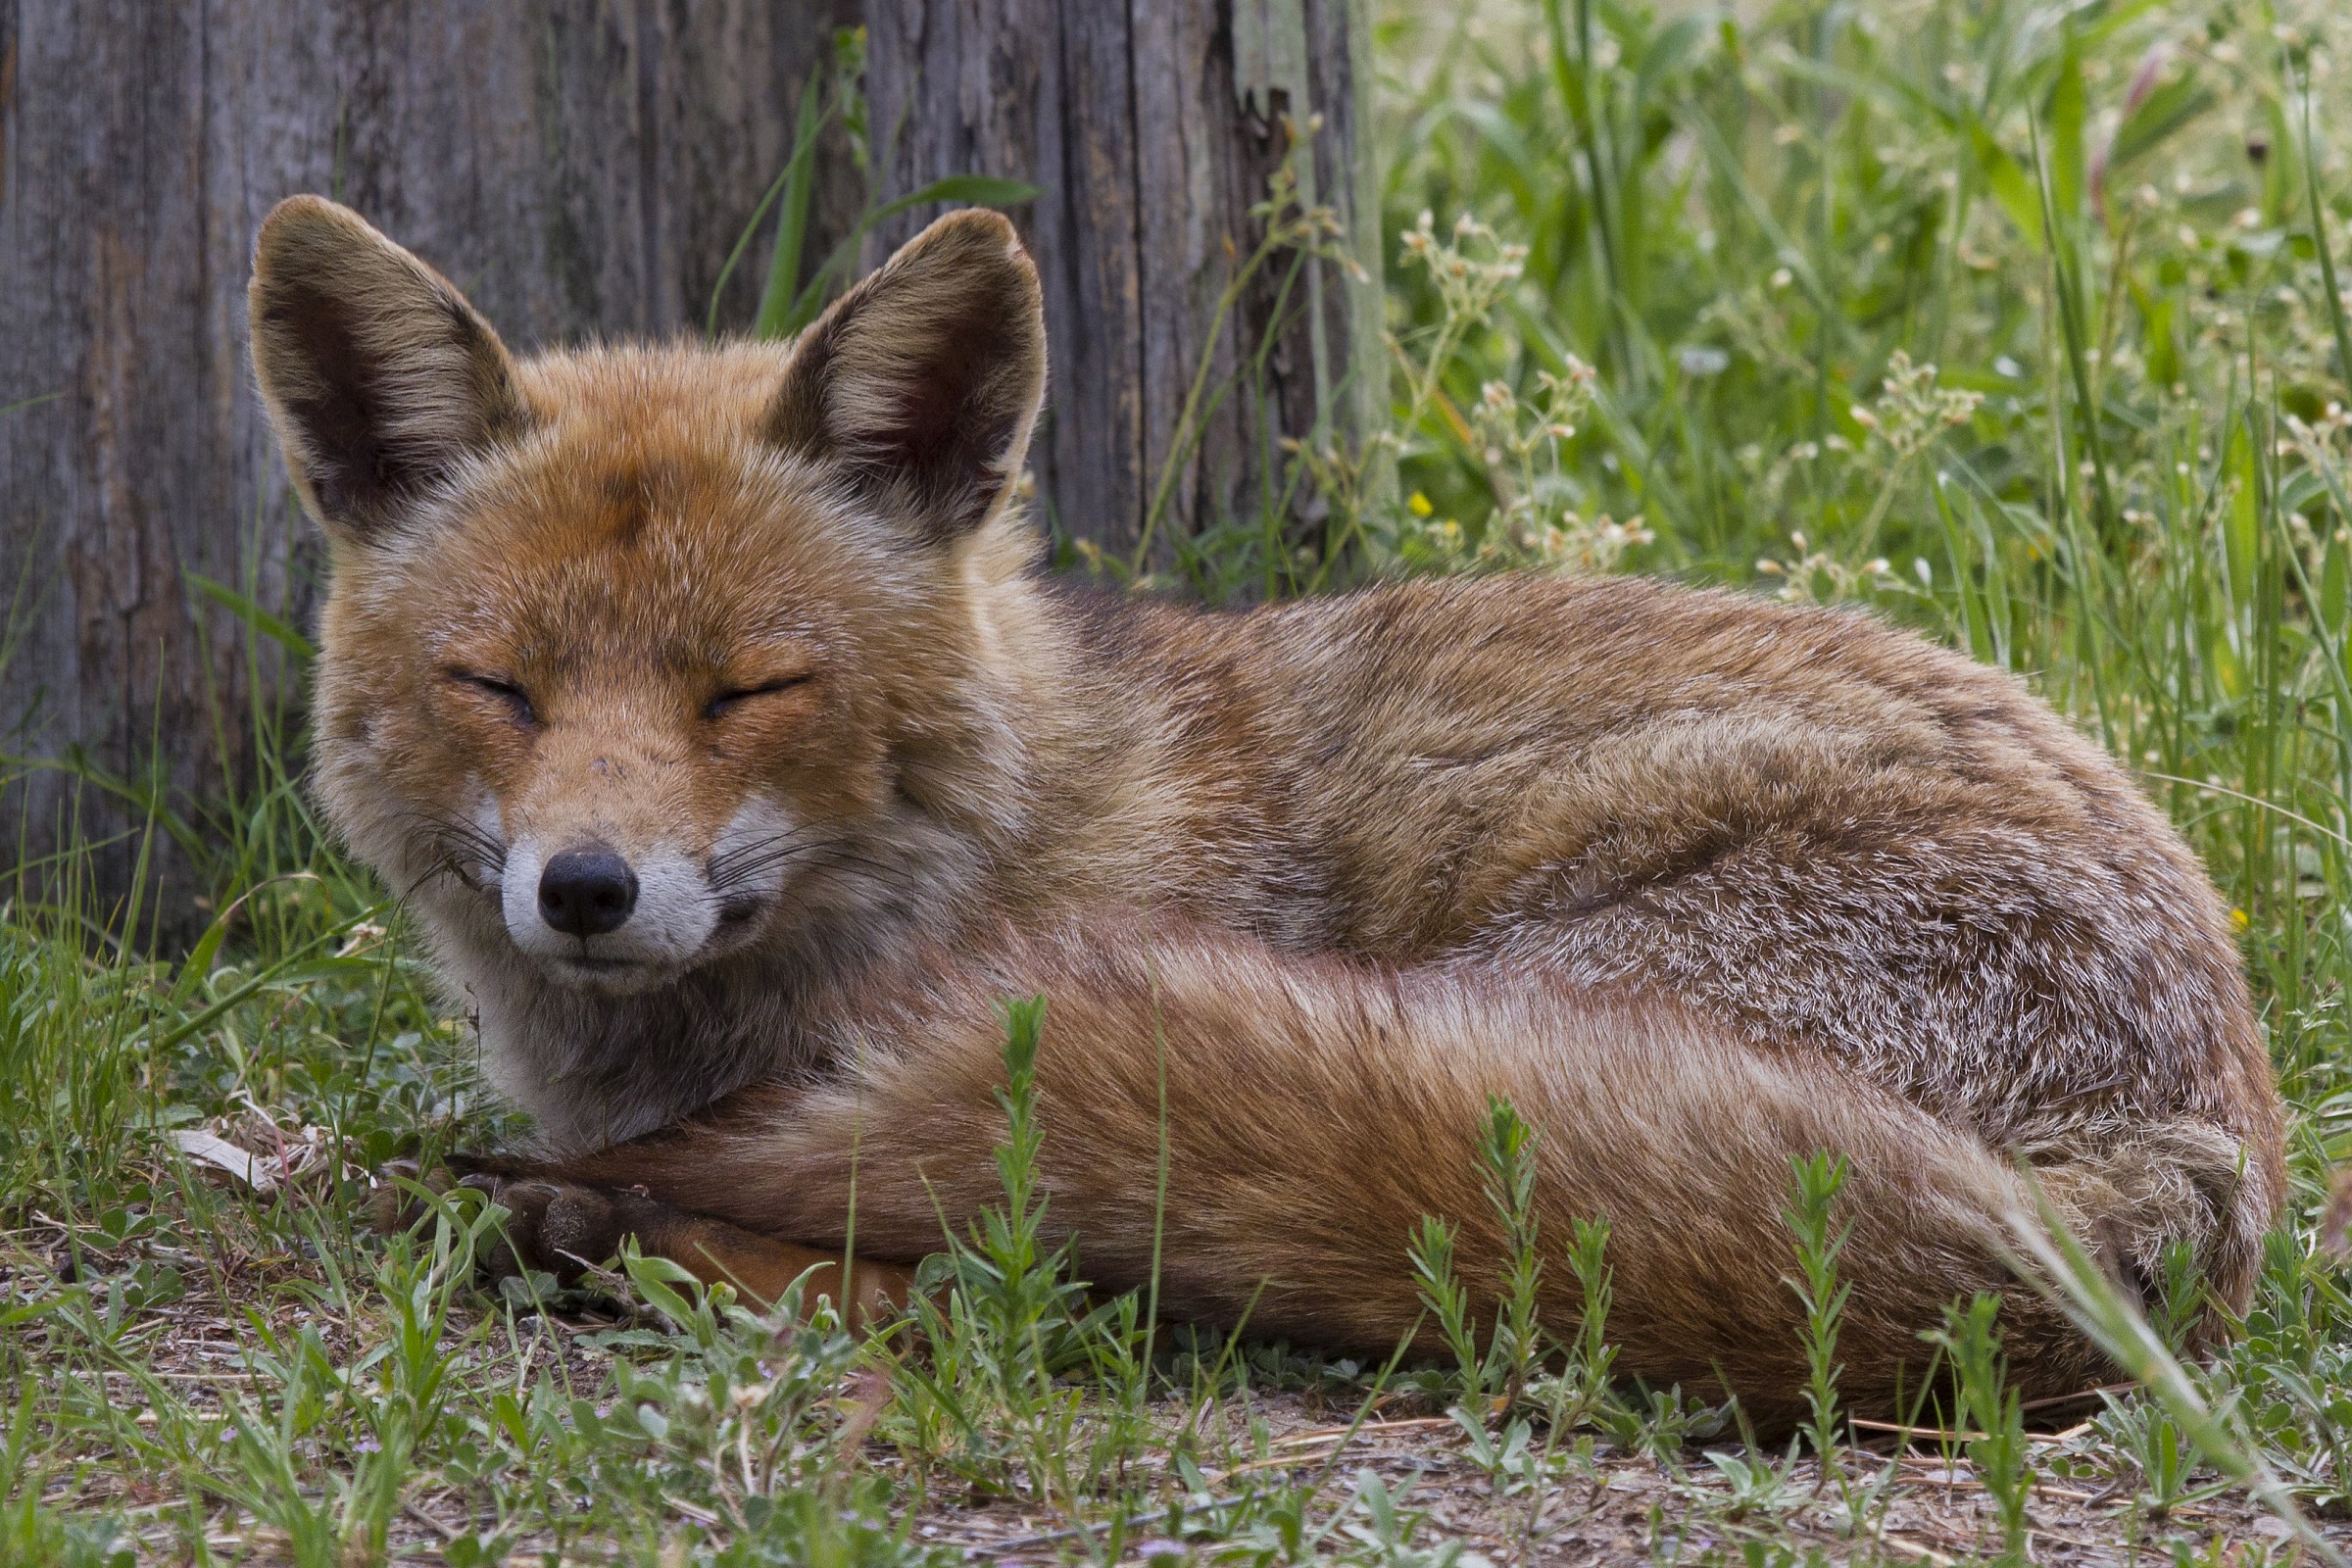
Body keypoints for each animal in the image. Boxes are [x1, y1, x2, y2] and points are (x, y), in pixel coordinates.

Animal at [247, 192, 2285, 1427]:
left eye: (747, 689)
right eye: (499, 689)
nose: (586, 889)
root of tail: (2205, 1147)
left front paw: (564, 1207)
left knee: (1031, 1283)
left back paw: (595, 1237)